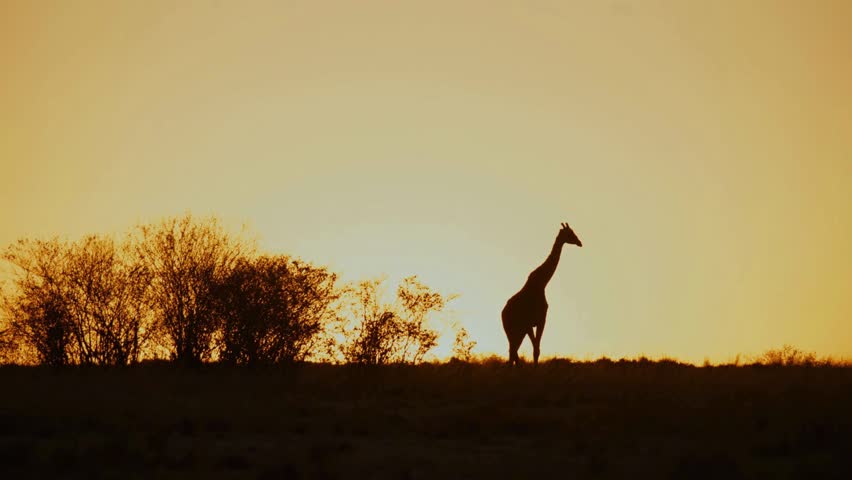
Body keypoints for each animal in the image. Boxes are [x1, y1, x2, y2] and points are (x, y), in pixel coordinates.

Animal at [502, 222, 582, 366]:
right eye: (570, 233)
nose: (580, 242)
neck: (541, 283)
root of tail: (502, 314)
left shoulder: (536, 322)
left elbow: (536, 350)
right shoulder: (535, 322)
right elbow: (536, 350)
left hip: (516, 331)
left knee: (512, 351)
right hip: (514, 330)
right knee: (513, 351)